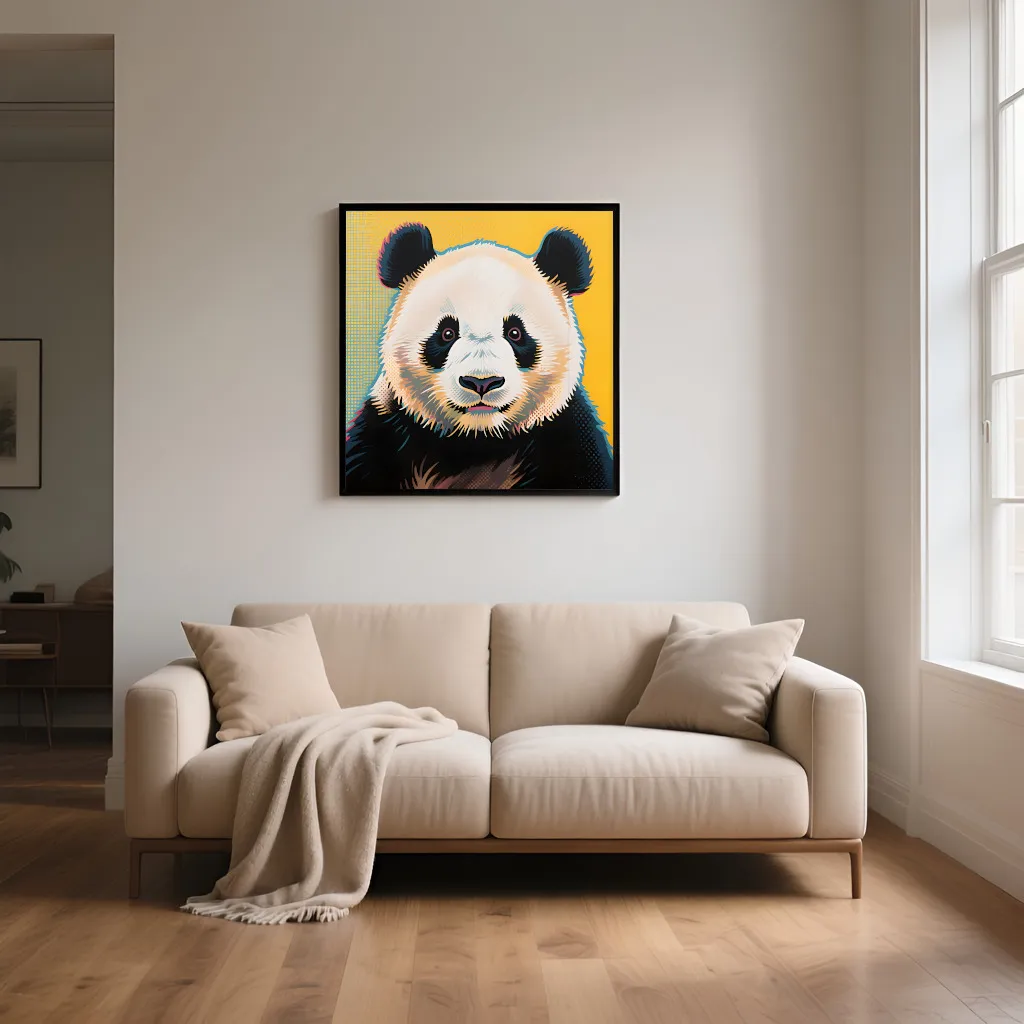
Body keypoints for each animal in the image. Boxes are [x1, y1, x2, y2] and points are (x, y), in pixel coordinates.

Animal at [344, 223, 614, 493]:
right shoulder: (383, 433)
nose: (481, 382)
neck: (476, 442)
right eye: (447, 333)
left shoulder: (567, 437)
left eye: (515, 333)